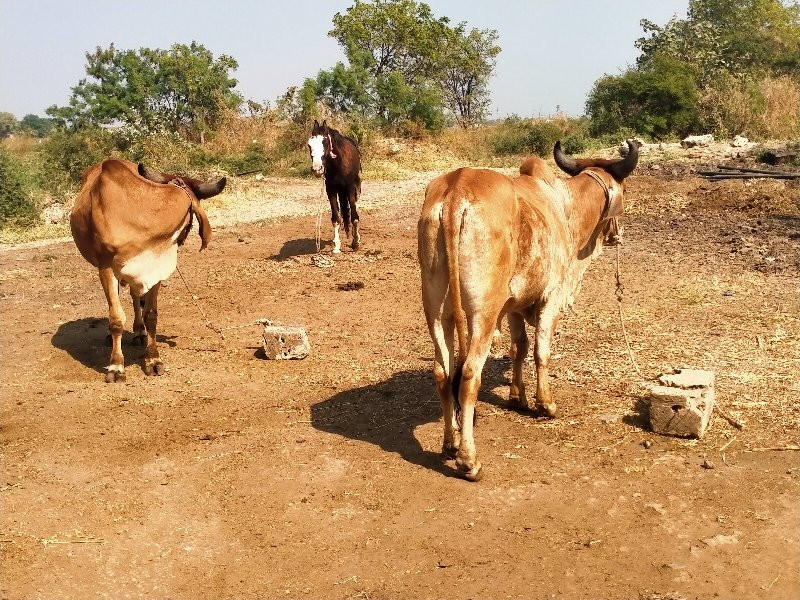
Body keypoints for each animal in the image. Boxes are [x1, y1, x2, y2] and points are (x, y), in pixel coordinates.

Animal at [70, 159, 225, 382]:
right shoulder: (106, 267)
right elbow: (116, 319)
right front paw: (116, 366)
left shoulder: (155, 267)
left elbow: (151, 315)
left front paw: (153, 359)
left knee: (136, 298)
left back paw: (139, 332)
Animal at [310, 120, 362, 252]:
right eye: (309, 144)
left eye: (324, 142)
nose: (317, 169)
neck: (338, 163)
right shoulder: (331, 190)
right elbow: (336, 218)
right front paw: (337, 246)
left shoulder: (350, 188)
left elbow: (354, 217)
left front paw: (355, 243)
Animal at [418, 139, 636, 478]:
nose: (618, 235)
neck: (564, 207)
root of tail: (456, 190)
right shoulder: (551, 298)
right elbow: (540, 352)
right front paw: (545, 403)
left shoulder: (513, 307)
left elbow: (518, 348)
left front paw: (516, 396)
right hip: (482, 313)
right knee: (468, 375)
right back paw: (469, 459)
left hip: (437, 311)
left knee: (443, 373)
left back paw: (449, 443)